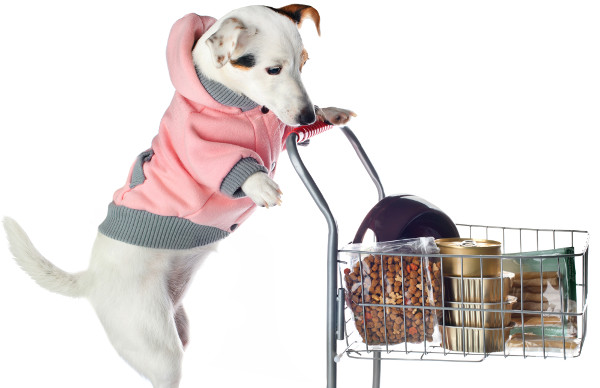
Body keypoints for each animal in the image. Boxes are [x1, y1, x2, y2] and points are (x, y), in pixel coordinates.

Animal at [2, 5, 354, 388]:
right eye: (273, 69)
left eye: (303, 63)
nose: (306, 116)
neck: (239, 103)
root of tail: (91, 278)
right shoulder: (196, 144)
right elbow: (225, 162)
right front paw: (259, 183)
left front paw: (329, 113)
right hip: (157, 348)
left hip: (176, 329)